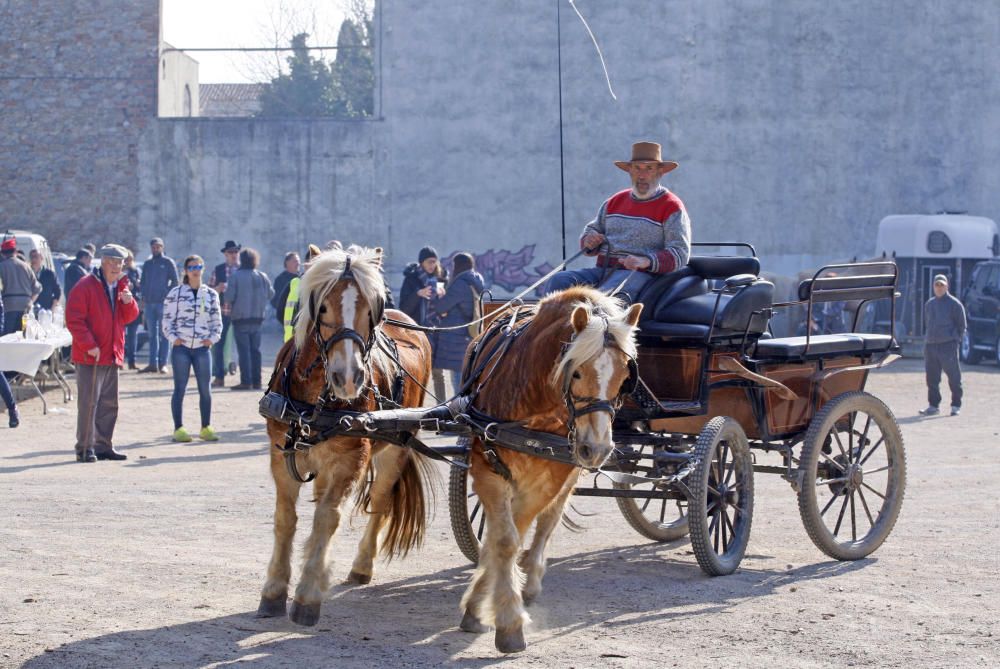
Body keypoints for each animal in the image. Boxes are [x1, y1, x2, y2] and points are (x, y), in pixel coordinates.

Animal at [254, 245, 434, 628]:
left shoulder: (349, 459)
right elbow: (285, 518)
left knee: (379, 503)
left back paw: (361, 566)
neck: (313, 400)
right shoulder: (281, 454)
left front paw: (307, 595)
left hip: (395, 447)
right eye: (322, 306)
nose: (348, 378)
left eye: (370, 310)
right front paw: (274, 590)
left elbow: (327, 518)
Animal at [458, 284, 640, 648]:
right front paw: (499, 616)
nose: (597, 448)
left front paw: (499, 609)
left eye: (625, 377)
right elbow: (503, 540)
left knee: (548, 521)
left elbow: (516, 533)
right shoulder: (486, 467)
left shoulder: (550, 479)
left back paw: (530, 579)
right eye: (577, 371)